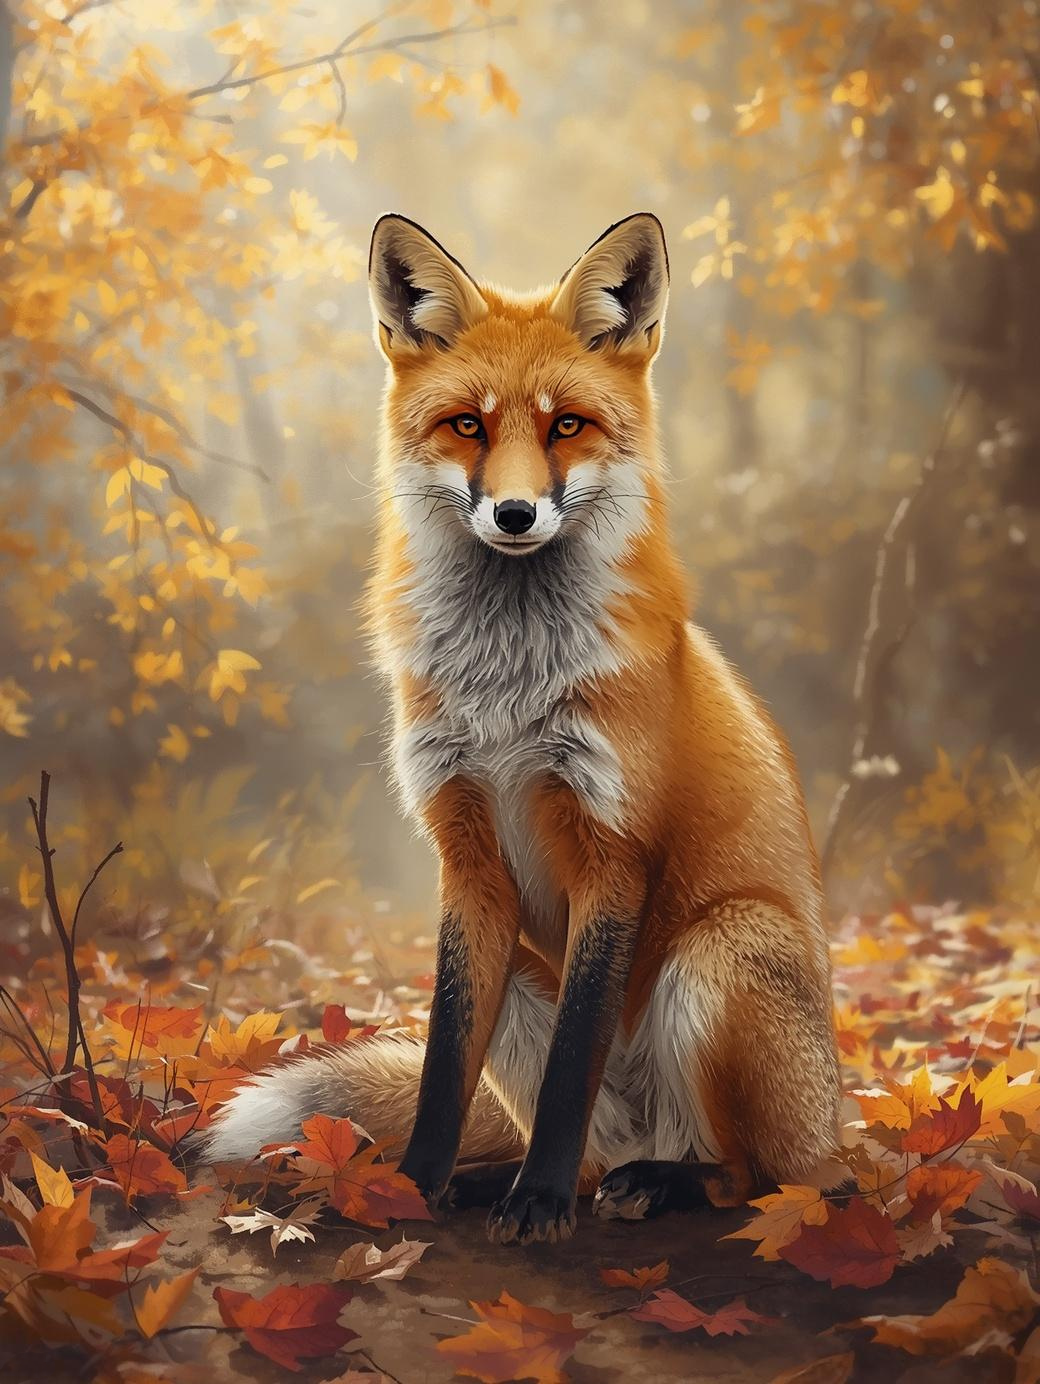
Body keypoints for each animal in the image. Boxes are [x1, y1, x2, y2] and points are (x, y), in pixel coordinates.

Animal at [202, 212, 842, 1245]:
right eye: (468, 424)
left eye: (565, 425)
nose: (512, 512)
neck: (507, 691)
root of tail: (840, 1124)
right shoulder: (465, 859)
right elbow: (441, 1069)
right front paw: (416, 1184)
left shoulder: (612, 850)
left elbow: (575, 1064)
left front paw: (536, 1202)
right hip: (527, 986)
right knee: (591, 1147)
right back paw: (499, 1182)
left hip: (723, 951)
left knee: (752, 1177)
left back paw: (656, 1185)